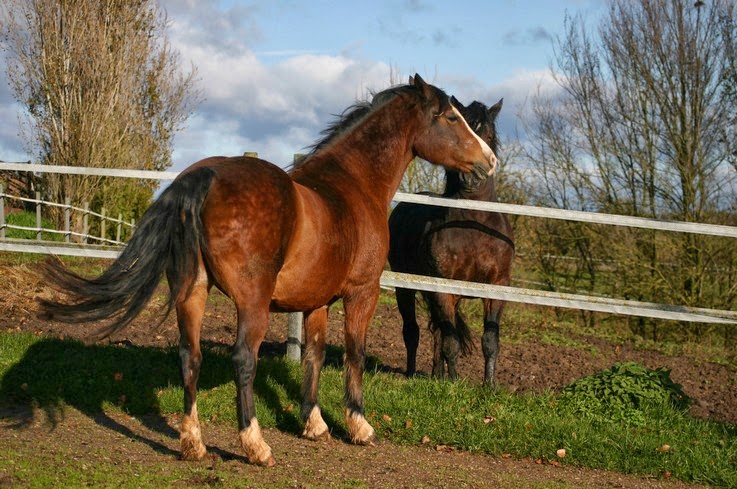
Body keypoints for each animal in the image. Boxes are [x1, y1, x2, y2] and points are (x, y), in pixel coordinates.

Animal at [386, 95, 512, 386]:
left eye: (489, 136)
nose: (473, 175)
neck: (473, 225)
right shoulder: (444, 289)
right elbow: (451, 342)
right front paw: (453, 384)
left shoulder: (496, 287)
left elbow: (490, 340)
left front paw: (489, 386)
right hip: (405, 288)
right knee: (413, 331)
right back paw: (412, 374)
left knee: (436, 331)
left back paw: (436, 374)